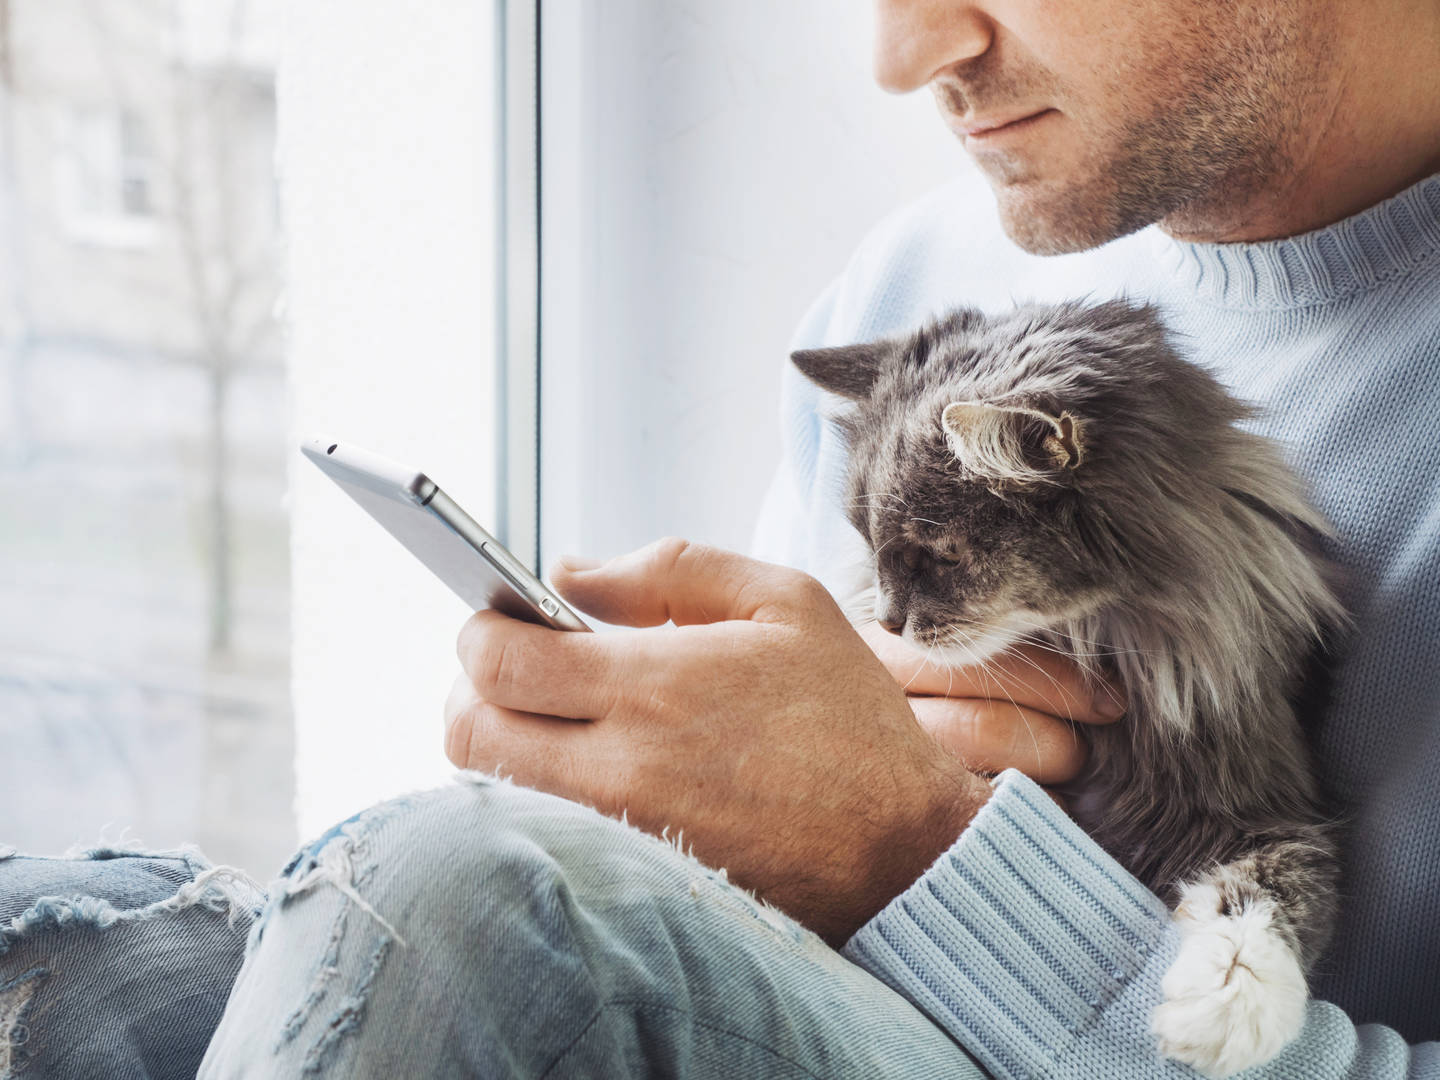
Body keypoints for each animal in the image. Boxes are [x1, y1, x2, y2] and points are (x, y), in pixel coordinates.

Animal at [794, 298, 1342, 1080]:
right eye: (869, 547)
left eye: (936, 556)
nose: (891, 622)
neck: (1098, 637)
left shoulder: (1271, 810)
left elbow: (1274, 898)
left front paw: (1223, 1006)